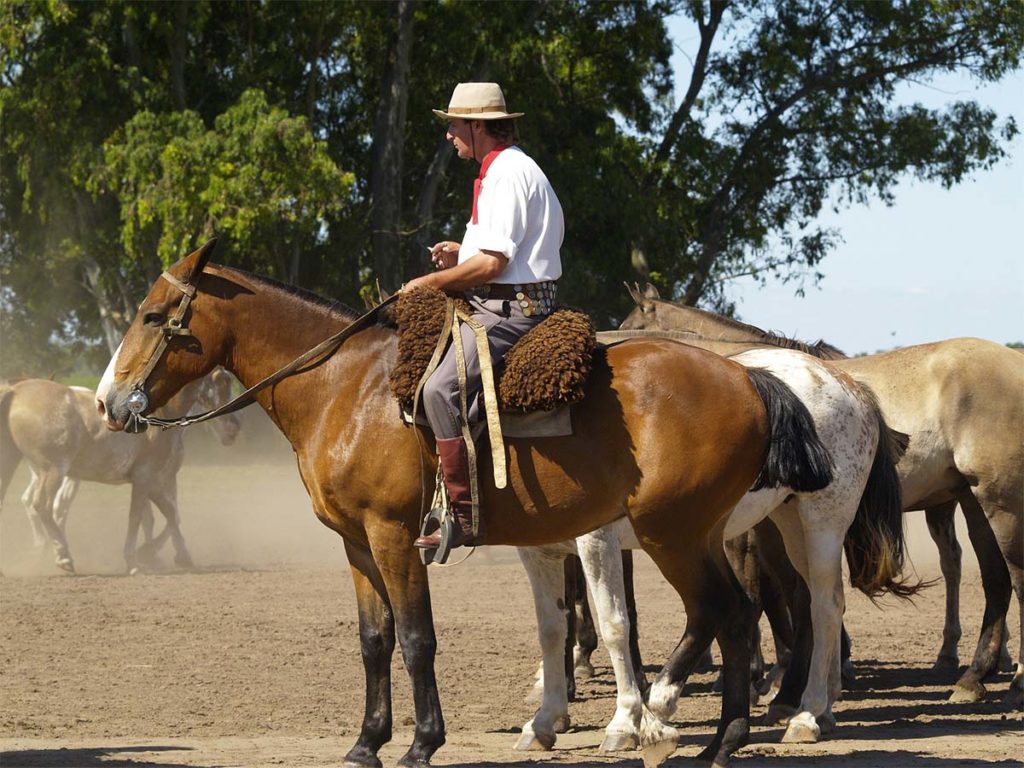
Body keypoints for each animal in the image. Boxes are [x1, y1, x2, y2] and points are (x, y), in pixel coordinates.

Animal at [1, 370, 239, 573]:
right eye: (220, 383)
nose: (233, 429)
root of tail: (15, 391)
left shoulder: (153, 481)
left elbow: (169, 514)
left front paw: (178, 556)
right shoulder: (147, 478)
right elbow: (139, 517)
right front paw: (135, 560)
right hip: (53, 471)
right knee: (43, 505)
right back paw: (63, 556)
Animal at [92, 241, 835, 768]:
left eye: (154, 316)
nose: (106, 402)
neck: (348, 388)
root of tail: (750, 377)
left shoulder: (394, 536)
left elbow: (416, 638)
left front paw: (423, 742)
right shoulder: (356, 543)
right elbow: (374, 641)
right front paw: (366, 743)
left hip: (674, 535)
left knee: (733, 612)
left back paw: (724, 737)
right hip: (698, 535)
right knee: (737, 614)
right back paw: (723, 736)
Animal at [516, 346, 909, 753]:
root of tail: (848, 384)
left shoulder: (598, 540)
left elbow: (615, 623)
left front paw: (623, 722)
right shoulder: (539, 551)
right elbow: (553, 629)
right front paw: (545, 719)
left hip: (822, 522)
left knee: (823, 606)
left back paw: (805, 712)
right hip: (786, 523)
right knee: (816, 603)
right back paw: (820, 707)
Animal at [614, 286, 1024, 708]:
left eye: (628, 324)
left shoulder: (744, 531)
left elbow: (765, 593)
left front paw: (767, 675)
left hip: (996, 501)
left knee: (1009, 574)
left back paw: (1005, 677)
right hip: (971, 500)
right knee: (993, 577)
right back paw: (973, 675)